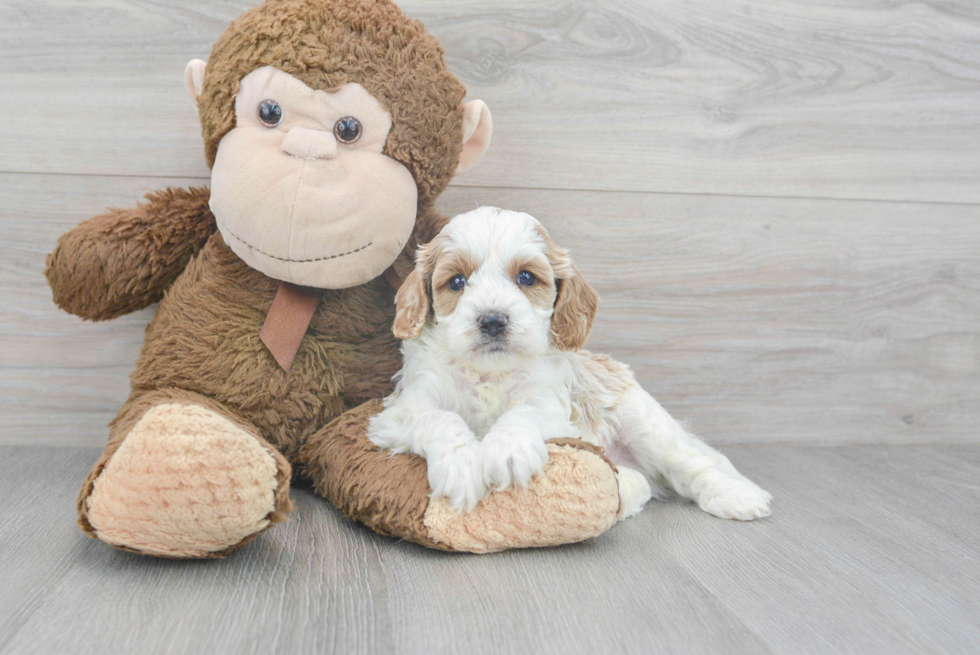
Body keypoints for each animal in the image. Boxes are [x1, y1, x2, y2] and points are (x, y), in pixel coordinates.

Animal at [368, 208, 772, 520]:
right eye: (456, 282)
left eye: (526, 277)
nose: (493, 320)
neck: (490, 373)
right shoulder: (403, 409)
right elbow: (439, 418)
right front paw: (462, 465)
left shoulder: (551, 407)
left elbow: (524, 413)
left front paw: (507, 451)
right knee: (640, 483)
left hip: (644, 422)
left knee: (694, 462)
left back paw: (737, 496)